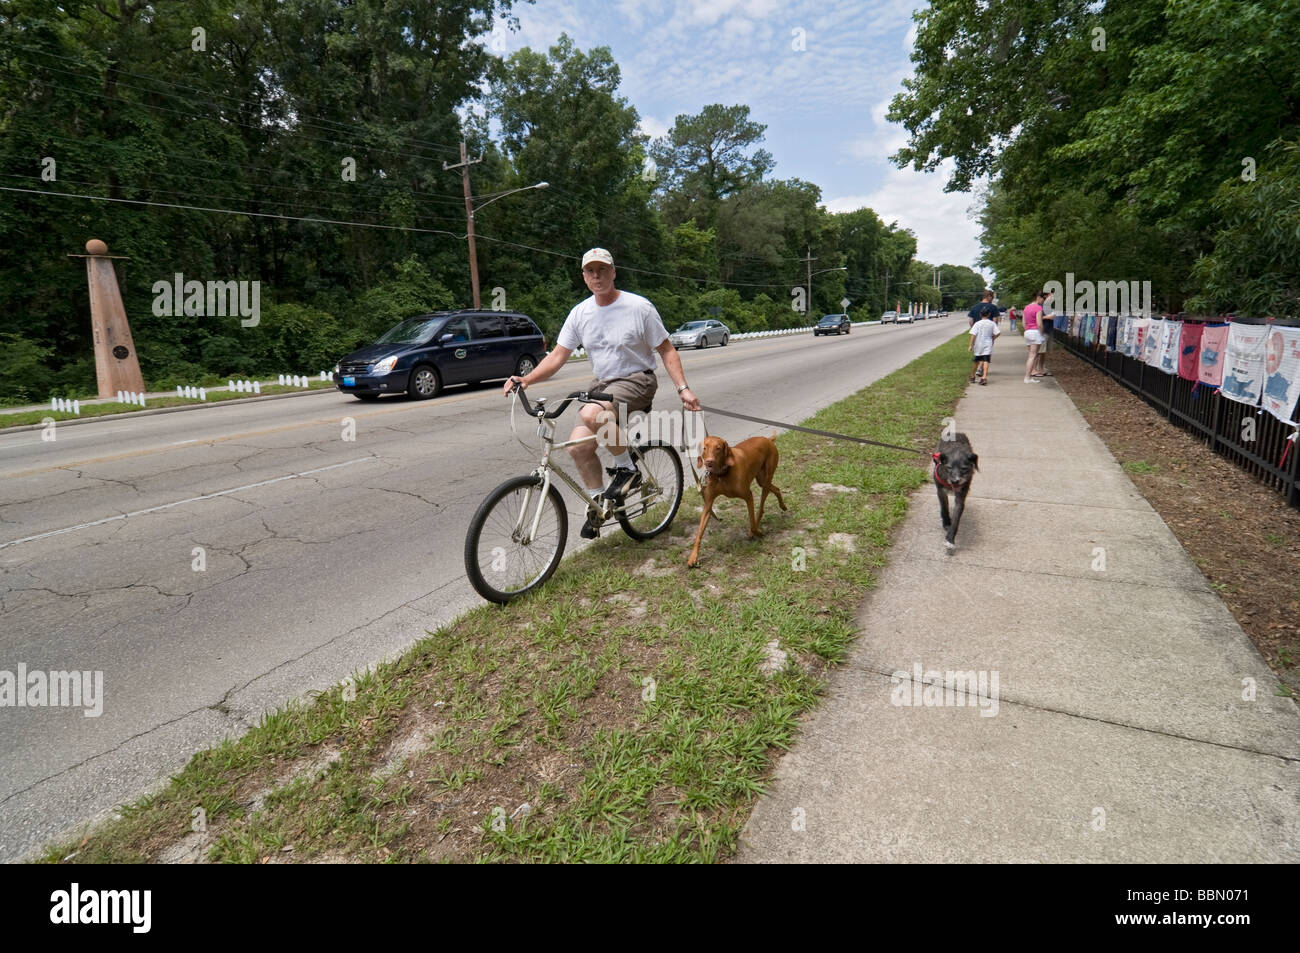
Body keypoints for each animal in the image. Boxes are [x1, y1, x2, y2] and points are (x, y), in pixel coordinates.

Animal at [686, 434, 785, 569]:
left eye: (718, 448)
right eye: (705, 448)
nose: (708, 462)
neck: (722, 474)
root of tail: (767, 439)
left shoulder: (748, 496)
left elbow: (752, 523)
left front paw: (757, 532)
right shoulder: (708, 505)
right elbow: (699, 533)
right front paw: (693, 557)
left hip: (766, 478)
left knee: (762, 506)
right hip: (762, 480)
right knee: (776, 489)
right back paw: (783, 506)